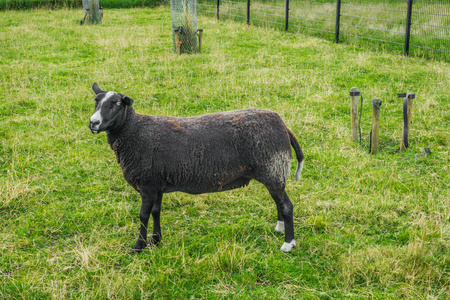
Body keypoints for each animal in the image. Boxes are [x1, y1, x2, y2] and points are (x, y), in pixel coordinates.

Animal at [87, 83, 306, 252]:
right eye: (96, 101)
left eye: (116, 103)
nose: (93, 123)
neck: (134, 132)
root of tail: (283, 125)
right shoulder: (157, 183)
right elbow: (156, 212)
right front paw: (156, 241)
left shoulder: (148, 184)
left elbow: (143, 215)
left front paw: (138, 246)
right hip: (275, 173)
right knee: (280, 203)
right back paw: (279, 228)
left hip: (273, 169)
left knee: (286, 206)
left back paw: (288, 243)